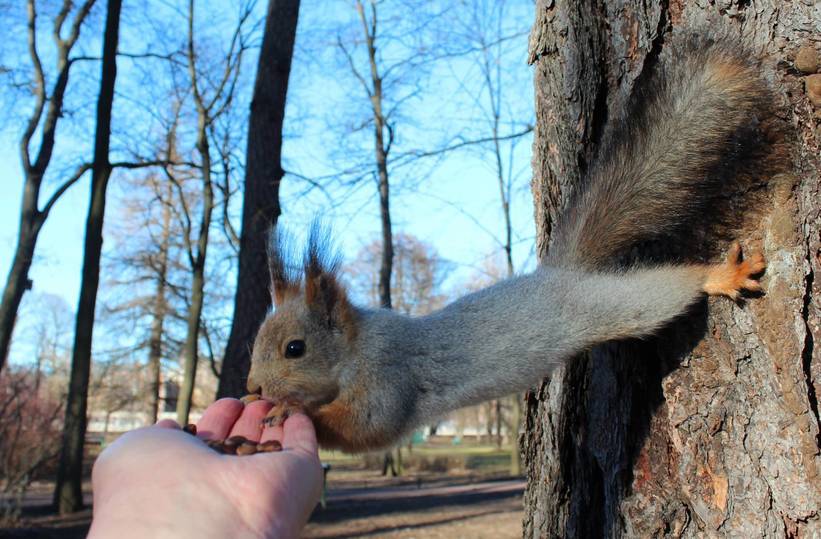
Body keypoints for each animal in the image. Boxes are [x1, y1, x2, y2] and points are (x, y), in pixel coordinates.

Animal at [243, 42, 776, 454]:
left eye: (295, 349)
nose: (251, 387)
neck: (356, 350)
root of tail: (561, 274)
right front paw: (261, 411)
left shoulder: (388, 380)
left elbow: (366, 429)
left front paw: (289, 411)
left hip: (612, 305)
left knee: (664, 292)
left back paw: (718, 276)